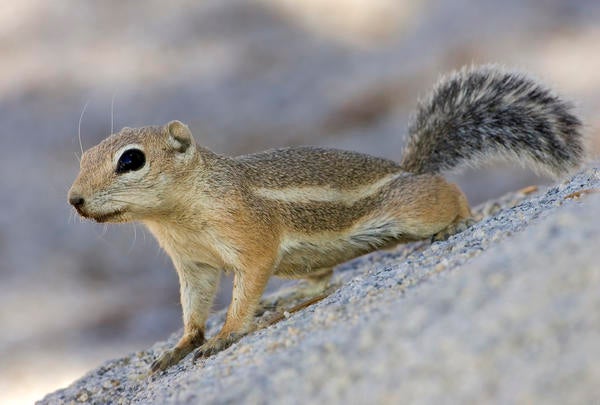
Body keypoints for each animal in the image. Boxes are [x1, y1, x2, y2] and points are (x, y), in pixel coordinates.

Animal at [68, 64, 584, 370]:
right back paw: (289, 298)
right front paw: (181, 345)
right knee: (320, 278)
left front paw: (225, 335)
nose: (74, 200)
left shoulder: (250, 237)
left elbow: (245, 286)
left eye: (131, 160)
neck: (176, 217)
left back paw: (457, 219)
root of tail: (408, 168)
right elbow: (193, 307)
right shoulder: (192, 265)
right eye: (83, 159)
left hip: (412, 208)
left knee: (447, 192)